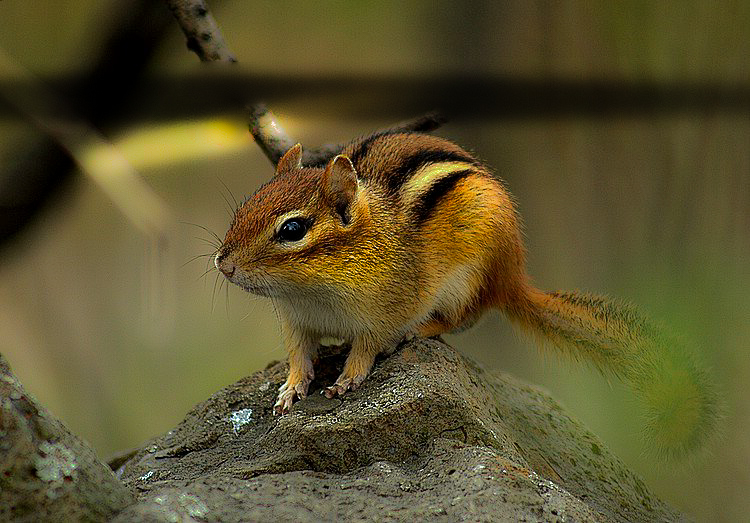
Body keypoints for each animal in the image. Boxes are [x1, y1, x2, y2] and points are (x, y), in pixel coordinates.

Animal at [215, 129, 718, 457]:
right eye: (246, 205)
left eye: (292, 230)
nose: (223, 263)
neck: (312, 292)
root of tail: (513, 278)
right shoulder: (296, 322)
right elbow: (300, 357)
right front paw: (289, 391)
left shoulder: (382, 311)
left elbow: (366, 349)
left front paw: (345, 380)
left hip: (469, 278)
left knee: (463, 318)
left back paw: (420, 330)